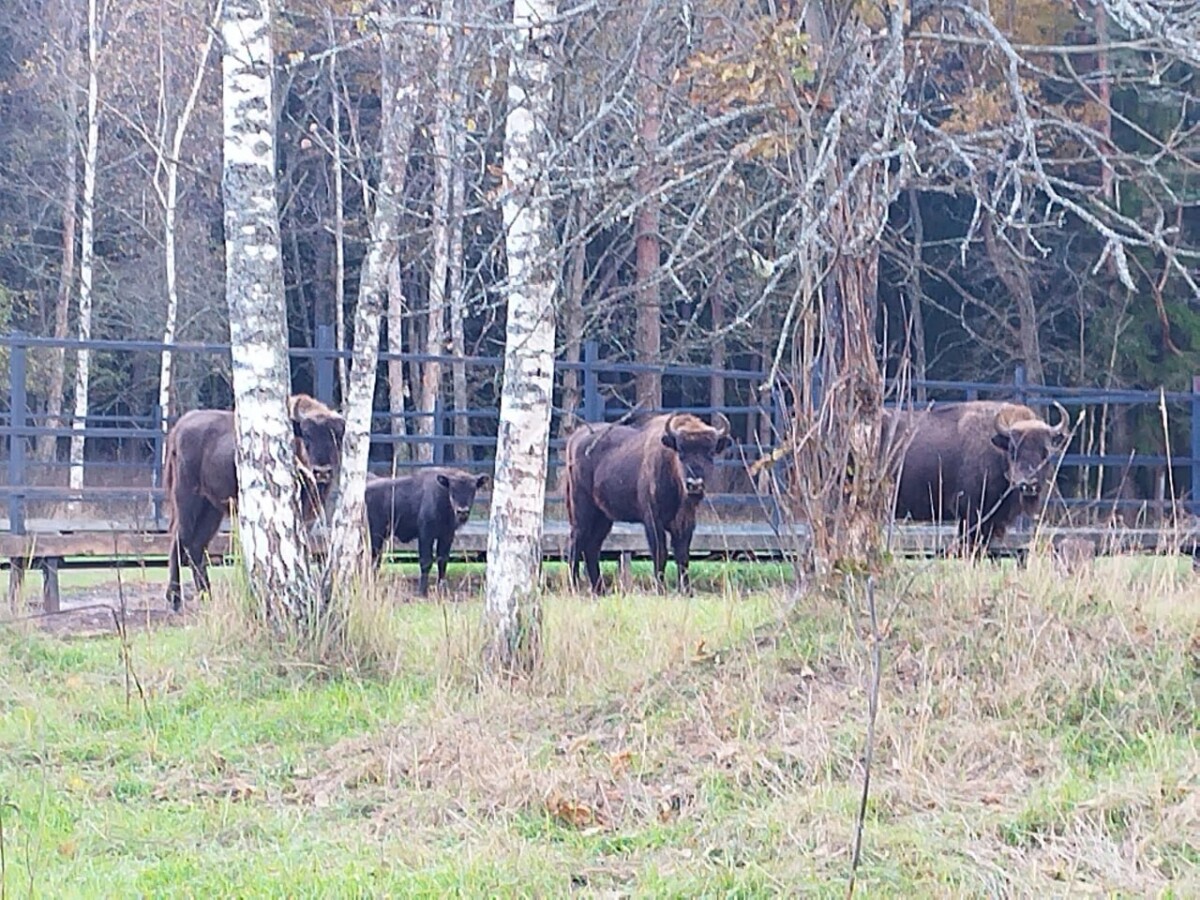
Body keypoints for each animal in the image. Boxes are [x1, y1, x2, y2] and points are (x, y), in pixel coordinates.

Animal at [163, 396, 348, 614]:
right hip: (188, 500)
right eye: (307, 435)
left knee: (196, 546)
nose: (322, 471)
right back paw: (175, 600)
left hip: (211, 510)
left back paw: (207, 597)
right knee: (180, 540)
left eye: (335, 436)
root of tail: (180, 427)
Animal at [568, 412, 734, 595]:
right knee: (576, 542)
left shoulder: (686, 522)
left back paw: (600, 590)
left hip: (603, 517)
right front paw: (660, 589)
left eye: (710, 452)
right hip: (582, 510)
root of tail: (577, 436)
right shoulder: (653, 520)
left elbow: (683, 555)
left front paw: (687, 591)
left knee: (592, 547)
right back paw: (575, 587)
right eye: (681, 451)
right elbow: (660, 553)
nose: (695, 484)